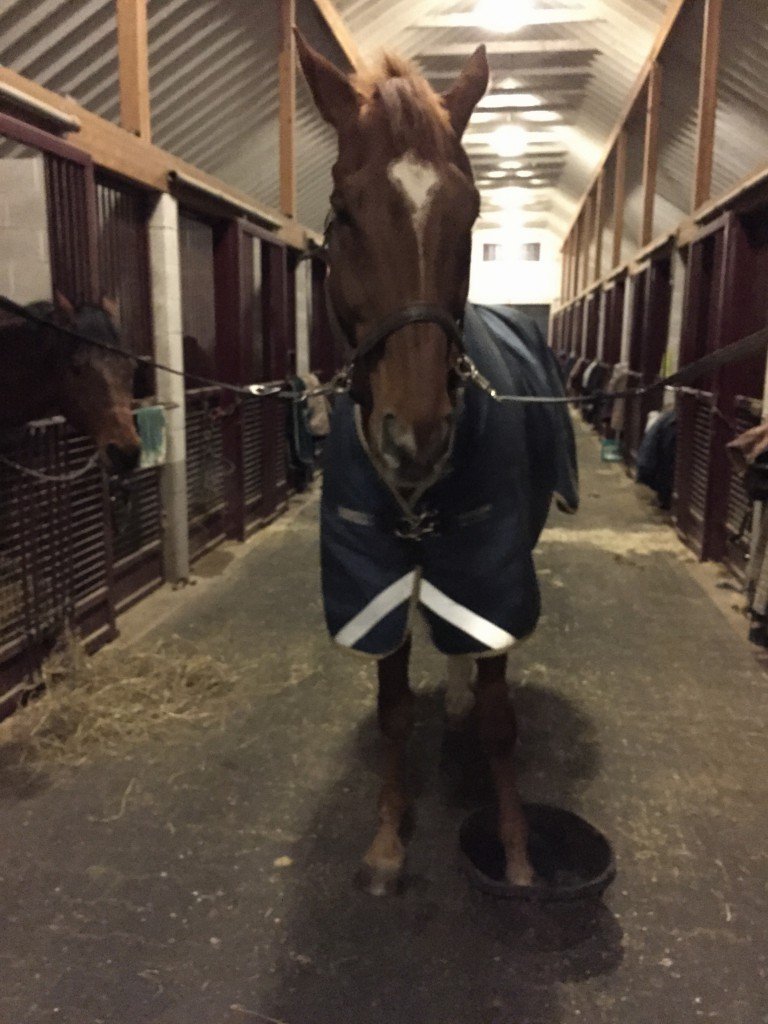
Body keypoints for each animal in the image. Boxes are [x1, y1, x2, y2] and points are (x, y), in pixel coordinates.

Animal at [296, 34, 581, 897]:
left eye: (472, 212)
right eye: (343, 213)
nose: (414, 437)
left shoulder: (490, 565)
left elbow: (497, 716)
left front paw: (517, 853)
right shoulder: (371, 572)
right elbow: (393, 709)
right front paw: (388, 841)